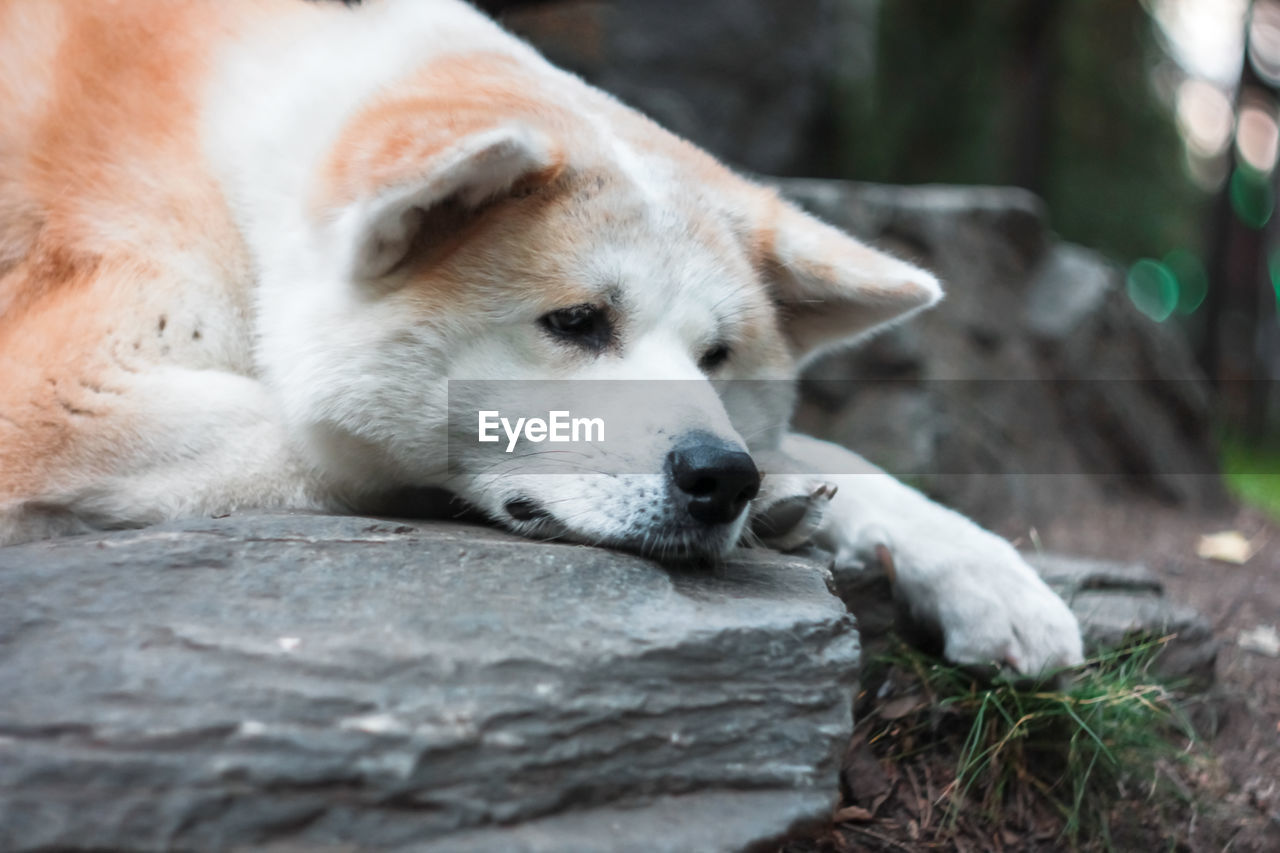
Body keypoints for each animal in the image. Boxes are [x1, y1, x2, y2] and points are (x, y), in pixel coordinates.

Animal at [0, 1, 1080, 676]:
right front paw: (784, 501)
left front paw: (981, 573)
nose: (720, 476)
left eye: (717, 358)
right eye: (575, 323)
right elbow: (345, 447)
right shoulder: (62, 391)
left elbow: (832, 450)